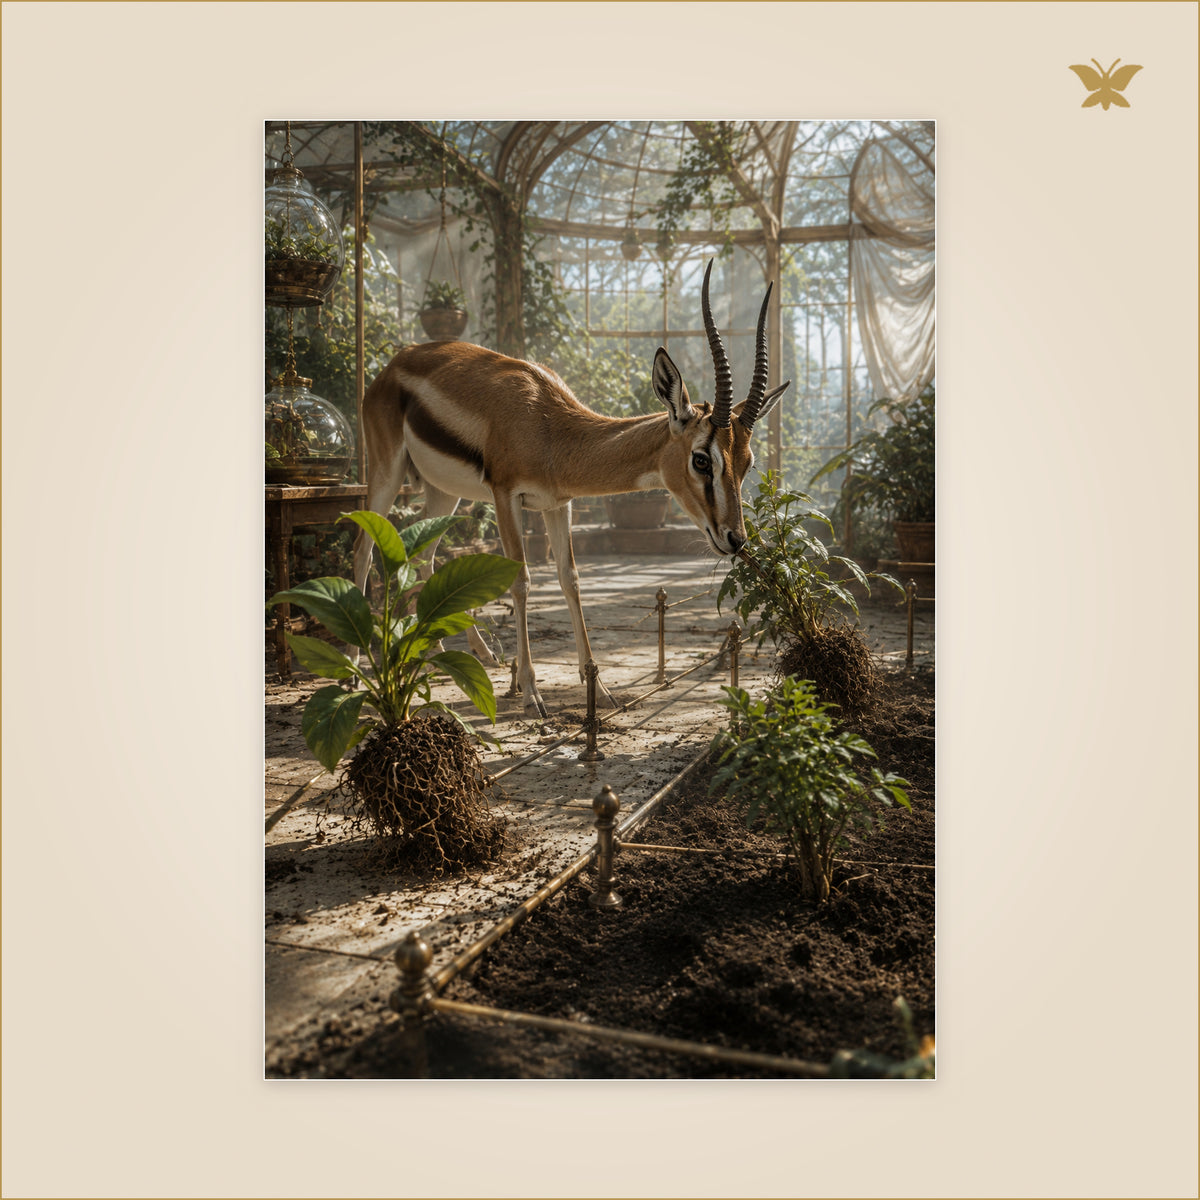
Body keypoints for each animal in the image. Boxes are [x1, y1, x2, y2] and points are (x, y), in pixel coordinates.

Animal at [352, 259, 789, 717]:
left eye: (747, 462)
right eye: (701, 459)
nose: (735, 539)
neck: (547, 424)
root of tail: (391, 365)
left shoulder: (557, 504)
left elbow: (571, 579)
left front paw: (600, 687)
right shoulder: (505, 497)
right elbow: (522, 580)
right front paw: (532, 693)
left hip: (445, 493)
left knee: (424, 550)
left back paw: (456, 651)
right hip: (386, 474)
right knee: (364, 548)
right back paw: (353, 668)